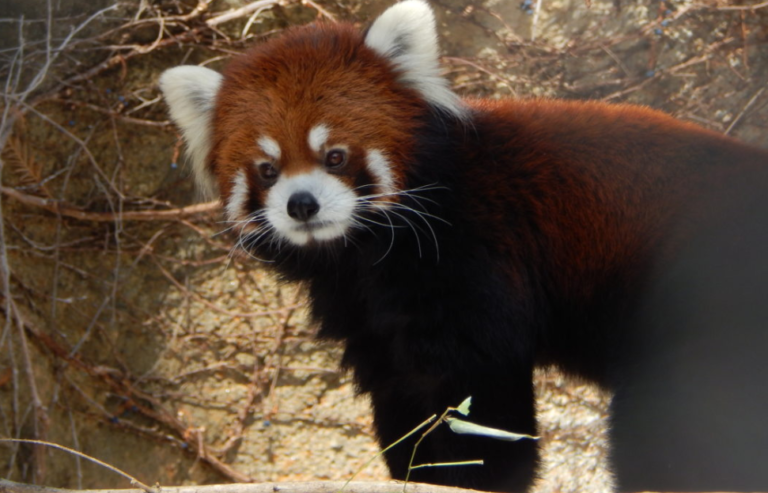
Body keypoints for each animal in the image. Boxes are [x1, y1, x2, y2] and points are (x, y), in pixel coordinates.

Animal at [159, 1, 768, 490]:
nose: (301, 205)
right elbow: (399, 383)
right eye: (267, 169)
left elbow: (476, 385)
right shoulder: (366, 312)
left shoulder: (475, 255)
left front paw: (478, 474)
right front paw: (416, 470)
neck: (366, 251)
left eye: (334, 155)